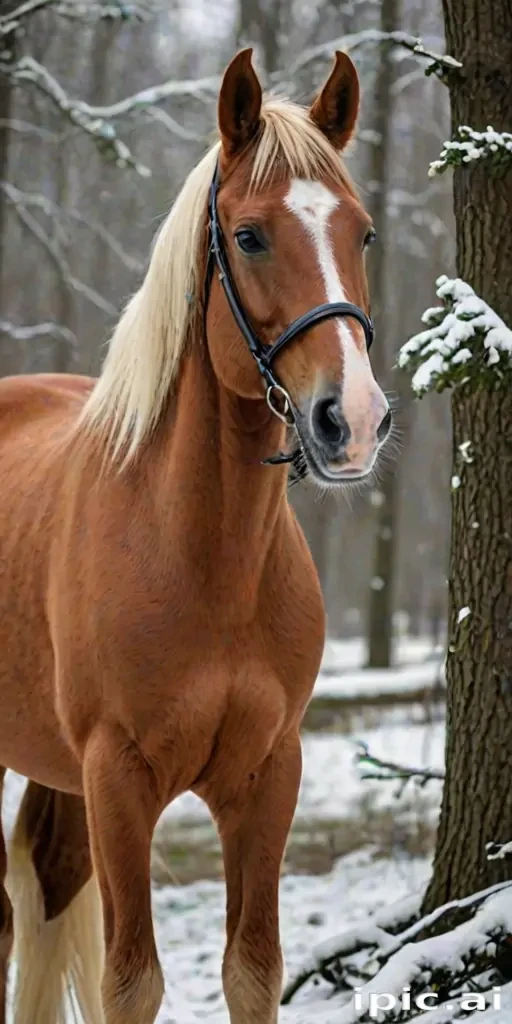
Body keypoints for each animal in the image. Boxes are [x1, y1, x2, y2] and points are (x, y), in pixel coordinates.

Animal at [0, 47, 390, 1024]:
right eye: (248, 237)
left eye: (363, 234)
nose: (354, 420)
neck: (201, 557)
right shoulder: (118, 781)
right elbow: (131, 980)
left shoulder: (268, 779)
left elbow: (252, 970)